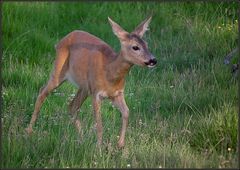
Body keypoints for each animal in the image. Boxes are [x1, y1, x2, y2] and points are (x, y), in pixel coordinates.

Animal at [25, 16, 157, 148]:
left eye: (146, 44)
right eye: (135, 47)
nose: (153, 60)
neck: (110, 72)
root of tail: (62, 40)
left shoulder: (117, 93)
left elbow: (126, 112)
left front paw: (120, 144)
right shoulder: (96, 93)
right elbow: (99, 123)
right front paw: (98, 147)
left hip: (84, 87)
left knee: (72, 106)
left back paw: (82, 138)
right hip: (59, 70)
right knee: (42, 92)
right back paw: (29, 131)